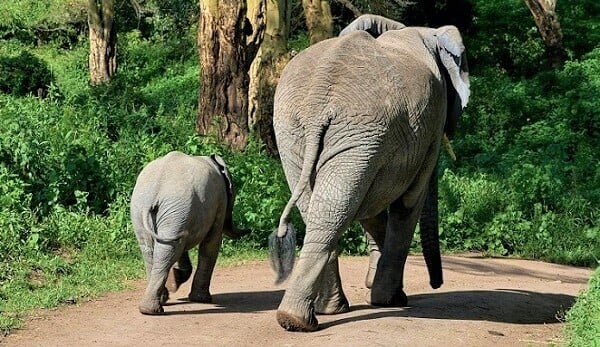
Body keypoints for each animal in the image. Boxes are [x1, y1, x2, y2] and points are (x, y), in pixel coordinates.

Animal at [131, 152, 246, 316]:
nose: (249, 230)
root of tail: (155, 191)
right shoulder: (220, 201)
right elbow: (212, 244)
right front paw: (201, 299)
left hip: (149, 210)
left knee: (155, 248)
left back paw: (154, 305)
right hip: (173, 209)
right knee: (169, 248)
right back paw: (156, 307)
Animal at [270, 14, 472, 334]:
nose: (436, 284)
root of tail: (318, 98)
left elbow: (369, 204)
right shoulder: (430, 125)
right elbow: (408, 202)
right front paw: (390, 300)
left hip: (301, 131)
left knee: (325, 207)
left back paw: (310, 315)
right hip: (352, 129)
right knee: (337, 206)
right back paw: (304, 319)